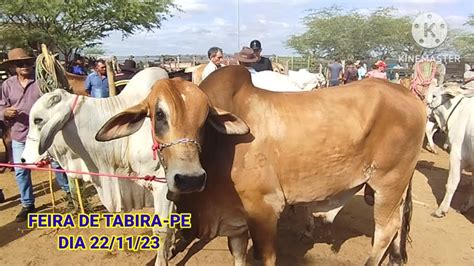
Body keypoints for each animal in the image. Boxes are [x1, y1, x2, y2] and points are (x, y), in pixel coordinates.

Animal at [95, 65, 426, 266]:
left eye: (205, 118)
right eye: (158, 115)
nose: (190, 179)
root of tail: (410, 96)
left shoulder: (264, 211)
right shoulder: (237, 224)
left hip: (389, 182)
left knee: (386, 229)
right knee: (397, 226)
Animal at [426, 84, 474, 217]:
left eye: (434, 96)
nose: (425, 104)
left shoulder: (456, 156)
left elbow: (452, 183)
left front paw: (441, 210)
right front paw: (466, 206)